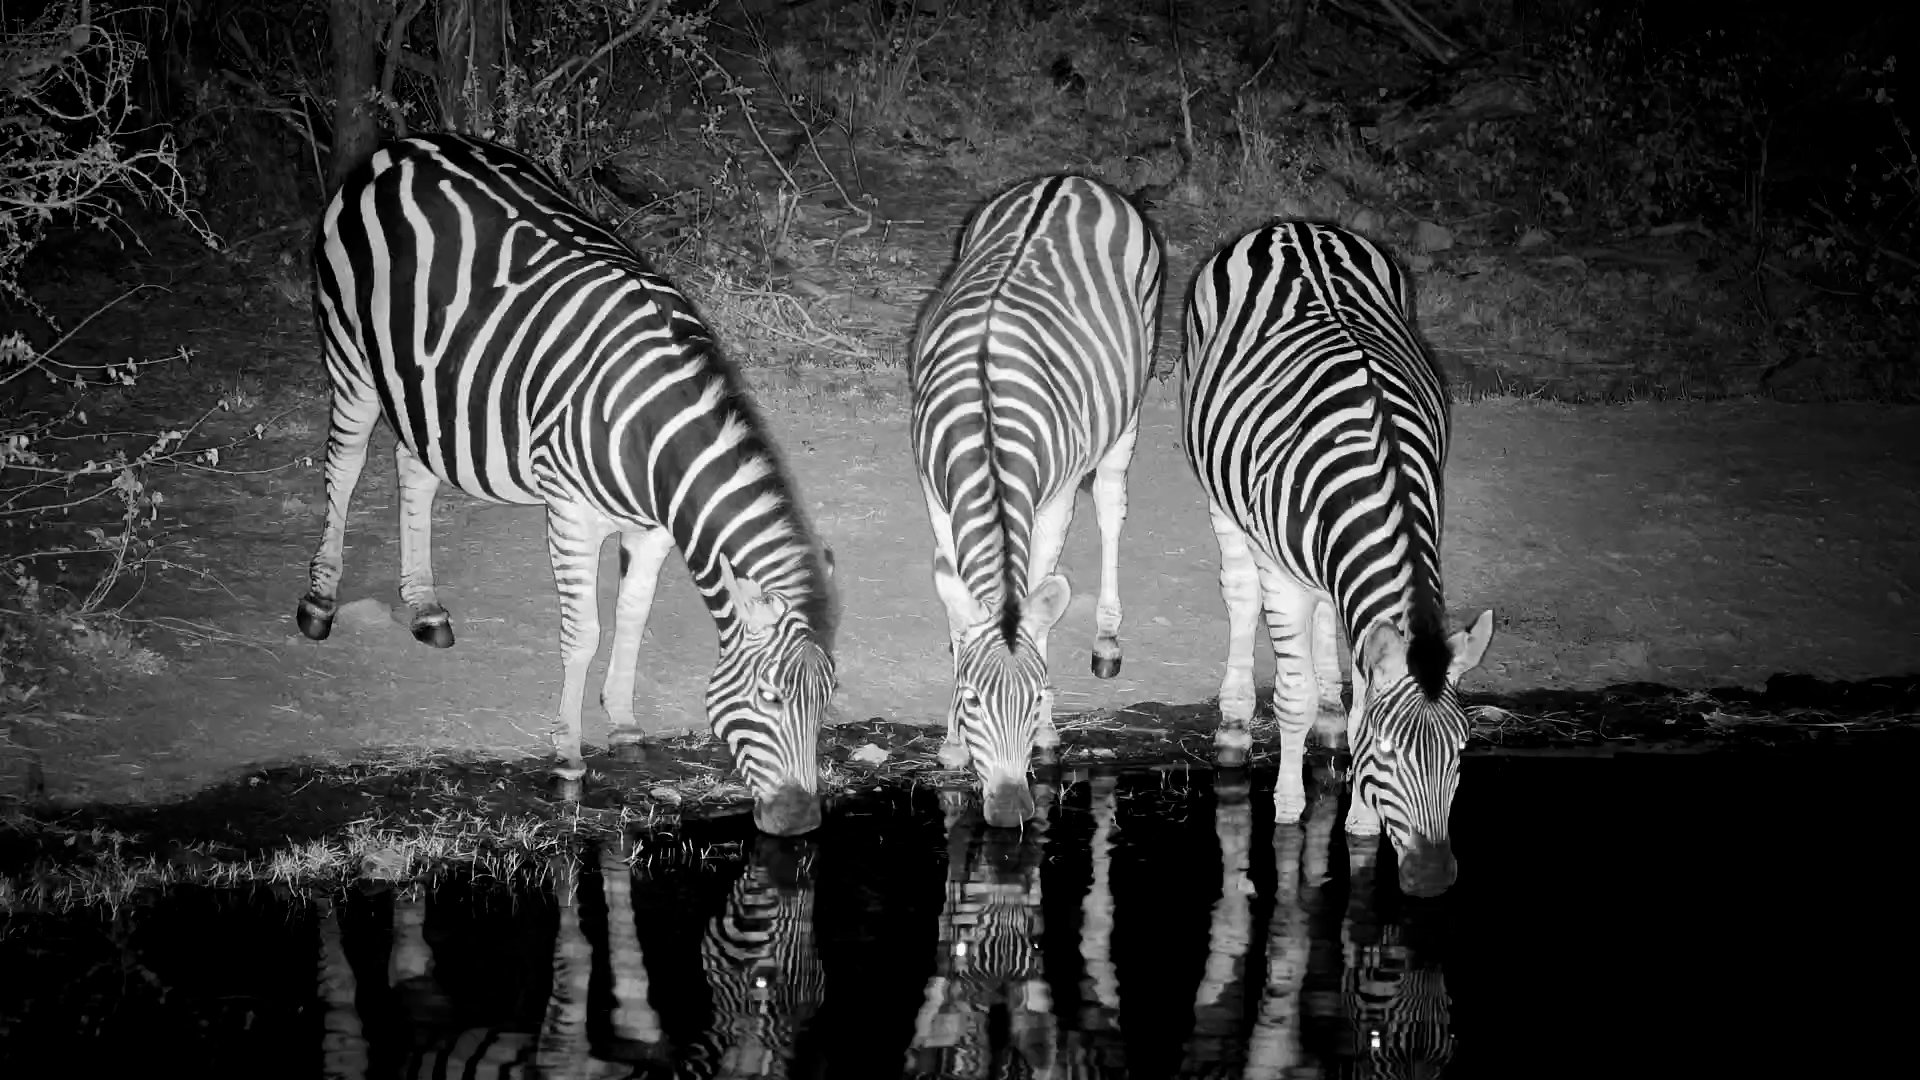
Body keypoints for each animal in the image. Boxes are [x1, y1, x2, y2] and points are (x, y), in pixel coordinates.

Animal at [298, 134, 836, 833]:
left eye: (828, 700)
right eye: (769, 698)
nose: (799, 822)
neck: (652, 437)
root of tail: (399, 146)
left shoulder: (655, 528)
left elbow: (633, 615)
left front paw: (627, 726)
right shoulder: (571, 515)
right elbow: (583, 635)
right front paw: (568, 762)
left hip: (428, 383)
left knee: (413, 467)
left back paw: (424, 606)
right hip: (352, 357)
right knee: (343, 463)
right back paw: (319, 601)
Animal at [910, 173, 1165, 828]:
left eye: (1034, 695)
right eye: (974, 699)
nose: (1007, 810)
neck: (986, 425)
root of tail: (1072, 179)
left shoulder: (1051, 503)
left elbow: (1039, 601)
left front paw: (1049, 732)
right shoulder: (935, 498)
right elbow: (959, 614)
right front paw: (951, 743)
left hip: (1129, 404)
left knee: (1111, 505)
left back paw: (1106, 643)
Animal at [1178, 221, 1494, 897]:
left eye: (1460, 753)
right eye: (1387, 752)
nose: (1430, 878)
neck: (1383, 476)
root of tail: (1292, 225)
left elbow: (1355, 691)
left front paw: (1359, 822)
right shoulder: (1278, 570)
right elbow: (1290, 695)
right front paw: (1290, 808)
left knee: (1328, 610)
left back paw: (1327, 711)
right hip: (1225, 499)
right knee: (1240, 594)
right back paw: (1235, 726)